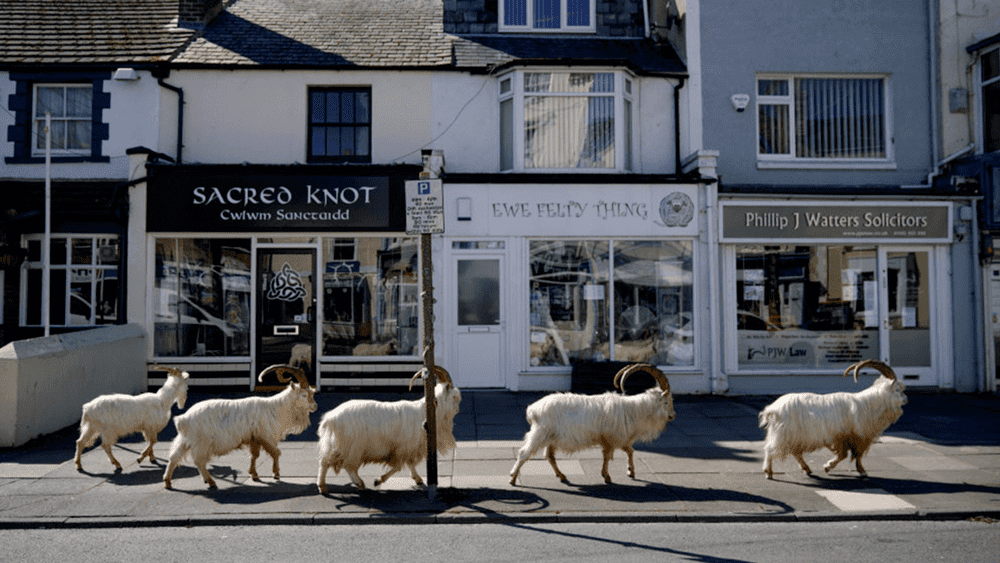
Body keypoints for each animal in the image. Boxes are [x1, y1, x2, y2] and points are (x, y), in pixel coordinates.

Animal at [162, 366, 316, 490]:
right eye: (304, 395)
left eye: (312, 393)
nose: (315, 407)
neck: (275, 408)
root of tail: (183, 419)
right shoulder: (266, 436)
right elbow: (276, 453)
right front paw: (276, 474)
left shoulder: (254, 438)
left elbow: (255, 455)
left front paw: (254, 474)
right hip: (202, 442)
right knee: (199, 461)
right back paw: (210, 482)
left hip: (185, 440)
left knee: (174, 457)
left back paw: (168, 482)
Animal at [316, 366, 460, 494]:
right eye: (454, 395)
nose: (458, 408)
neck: (428, 411)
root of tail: (330, 418)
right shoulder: (401, 449)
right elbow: (398, 466)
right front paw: (378, 481)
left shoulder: (409, 449)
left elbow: (410, 464)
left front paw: (418, 479)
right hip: (352, 447)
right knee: (338, 464)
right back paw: (345, 484)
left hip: (340, 446)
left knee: (328, 461)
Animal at [512, 364, 676, 486]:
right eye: (666, 401)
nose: (673, 416)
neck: (632, 410)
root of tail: (533, 410)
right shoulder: (612, 438)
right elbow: (609, 456)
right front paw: (607, 476)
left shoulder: (617, 439)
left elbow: (629, 451)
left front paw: (630, 471)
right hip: (540, 434)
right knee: (524, 453)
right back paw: (513, 478)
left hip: (551, 438)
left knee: (549, 456)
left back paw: (562, 476)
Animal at [760, 362, 912, 480]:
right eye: (897, 389)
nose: (906, 399)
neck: (867, 404)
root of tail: (773, 409)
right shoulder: (849, 437)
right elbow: (847, 455)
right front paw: (831, 467)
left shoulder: (850, 438)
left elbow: (852, 455)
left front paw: (858, 470)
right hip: (784, 435)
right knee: (770, 449)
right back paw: (769, 472)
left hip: (793, 436)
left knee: (795, 453)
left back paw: (807, 469)